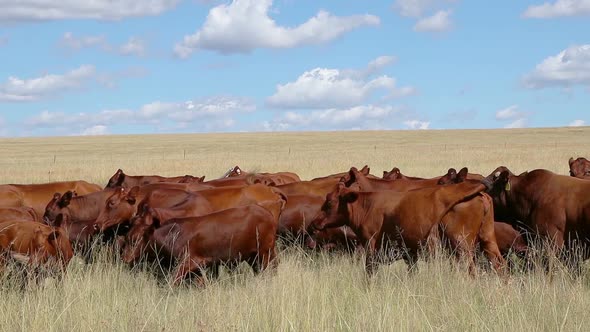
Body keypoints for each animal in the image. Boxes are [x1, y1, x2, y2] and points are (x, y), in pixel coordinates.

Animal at [123, 205, 280, 286]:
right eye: (128, 235)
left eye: (136, 239)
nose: (125, 258)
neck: (174, 234)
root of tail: (266, 212)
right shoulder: (198, 270)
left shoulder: (186, 263)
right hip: (253, 257)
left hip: (265, 253)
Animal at [308, 180, 498, 274]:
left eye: (329, 203)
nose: (314, 222)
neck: (368, 205)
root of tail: (478, 192)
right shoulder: (410, 253)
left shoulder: (371, 246)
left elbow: (369, 272)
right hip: (488, 240)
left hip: (462, 245)